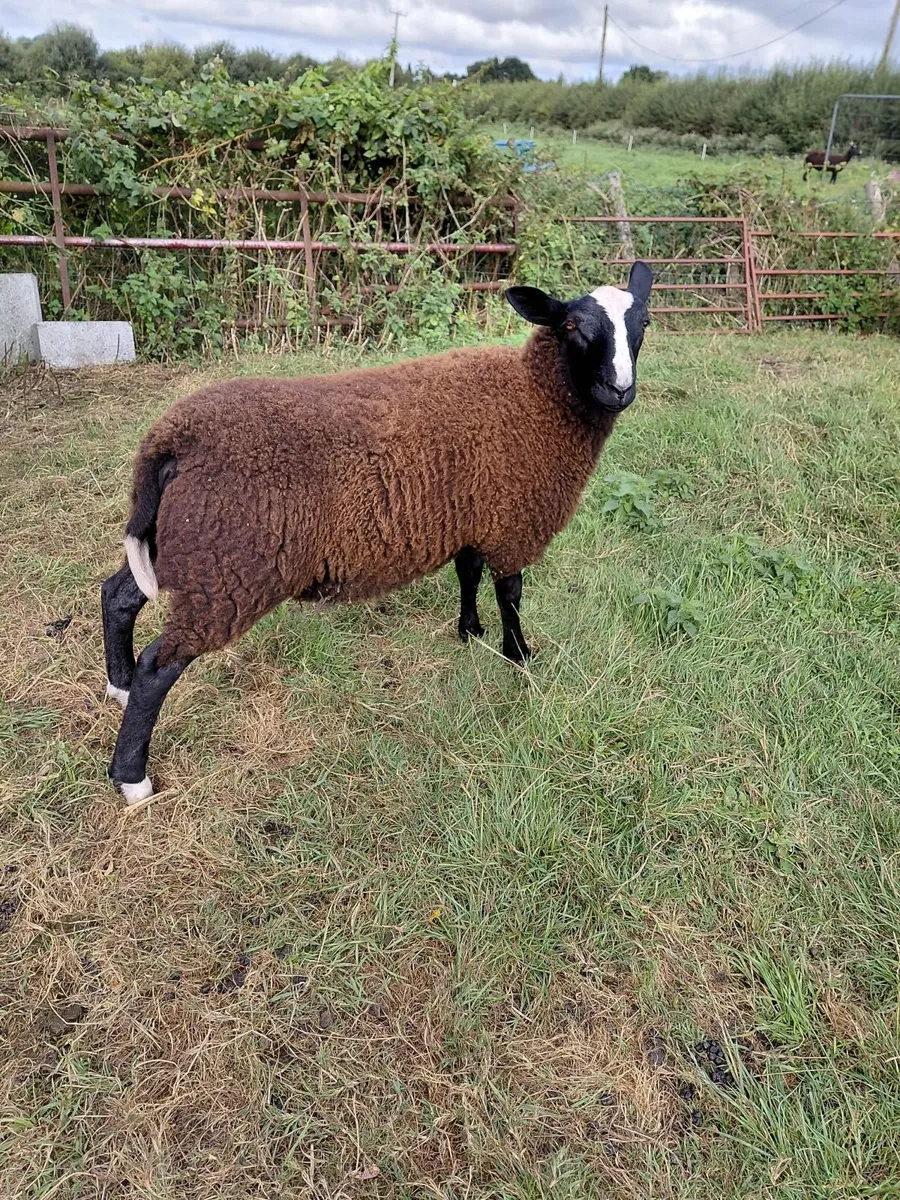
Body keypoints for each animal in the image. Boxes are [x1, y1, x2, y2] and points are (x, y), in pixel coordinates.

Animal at [101, 261, 654, 802]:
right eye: (571, 327)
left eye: (643, 323)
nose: (620, 391)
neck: (535, 398)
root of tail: (170, 440)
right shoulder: (513, 521)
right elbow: (510, 594)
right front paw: (518, 657)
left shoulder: (473, 513)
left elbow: (469, 573)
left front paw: (469, 632)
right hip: (229, 569)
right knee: (159, 666)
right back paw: (133, 777)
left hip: (182, 547)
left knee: (118, 595)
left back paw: (118, 686)